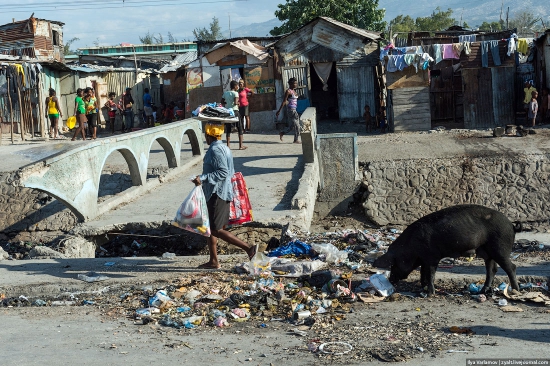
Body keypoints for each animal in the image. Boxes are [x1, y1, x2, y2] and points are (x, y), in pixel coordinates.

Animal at [376, 204, 520, 296]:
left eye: (394, 264)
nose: (391, 280)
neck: (411, 247)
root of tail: (511, 225)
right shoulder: (425, 259)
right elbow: (423, 272)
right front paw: (422, 288)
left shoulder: (432, 257)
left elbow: (430, 274)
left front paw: (430, 293)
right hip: (487, 252)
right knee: (492, 270)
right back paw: (482, 291)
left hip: (500, 249)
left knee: (511, 267)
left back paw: (515, 290)